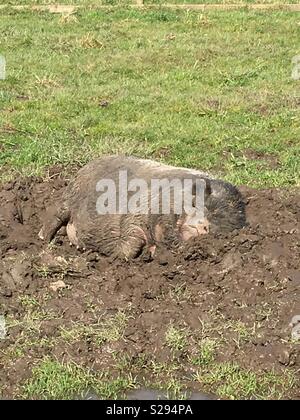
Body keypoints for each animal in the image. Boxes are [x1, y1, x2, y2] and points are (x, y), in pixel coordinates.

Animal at [39, 155, 246, 260]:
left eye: (219, 225)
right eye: (195, 203)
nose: (204, 225)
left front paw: (151, 254)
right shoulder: (135, 213)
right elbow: (130, 245)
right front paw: (110, 255)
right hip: (70, 196)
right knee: (56, 214)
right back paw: (44, 240)